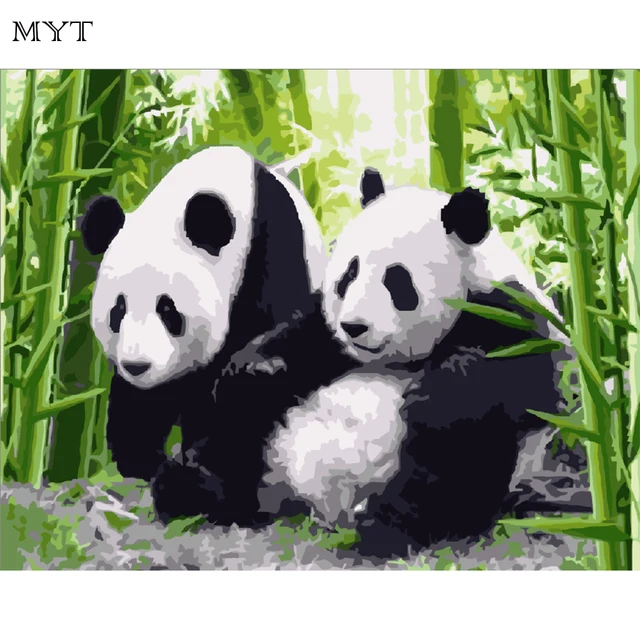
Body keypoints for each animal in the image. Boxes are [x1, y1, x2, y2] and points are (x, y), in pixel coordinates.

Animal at [81, 145, 332, 526]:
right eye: (118, 310)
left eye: (167, 310)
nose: (137, 366)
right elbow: (145, 403)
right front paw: (144, 463)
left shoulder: (272, 254)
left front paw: (202, 486)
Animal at [253, 167, 569, 557]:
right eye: (349, 275)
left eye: (397, 281)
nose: (354, 326)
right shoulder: (323, 335)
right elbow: (297, 340)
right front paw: (265, 365)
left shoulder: (508, 315)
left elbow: (506, 388)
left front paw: (442, 392)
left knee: (451, 468)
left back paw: (383, 528)